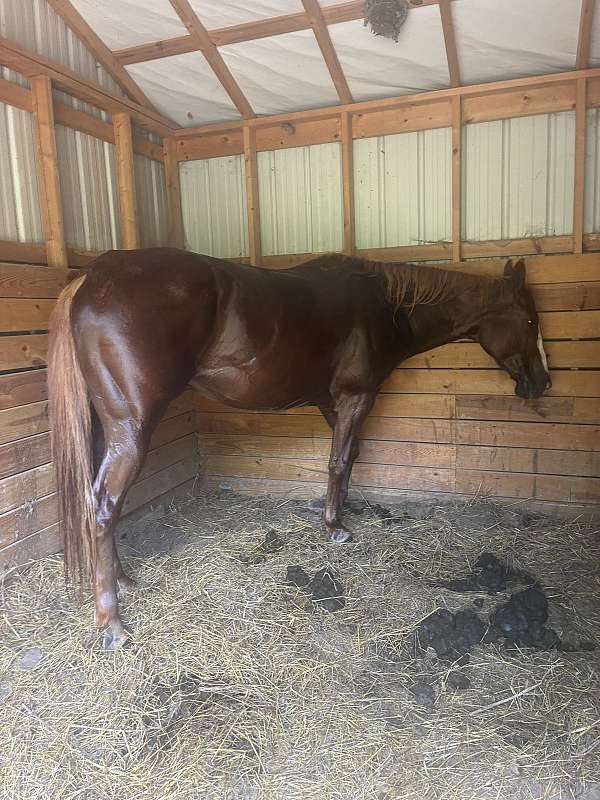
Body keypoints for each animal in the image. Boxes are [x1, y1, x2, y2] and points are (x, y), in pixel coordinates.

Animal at [47, 249, 551, 650]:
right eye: (530, 320)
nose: (542, 383)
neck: (384, 305)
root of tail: (92, 277)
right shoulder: (355, 397)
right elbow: (339, 461)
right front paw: (335, 528)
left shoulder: (333, 403)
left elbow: (349, 458)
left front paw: (338, 513)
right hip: (131, 428)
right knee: (104, 507)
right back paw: (113, 622)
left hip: (105, 428)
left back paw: (124, 580)